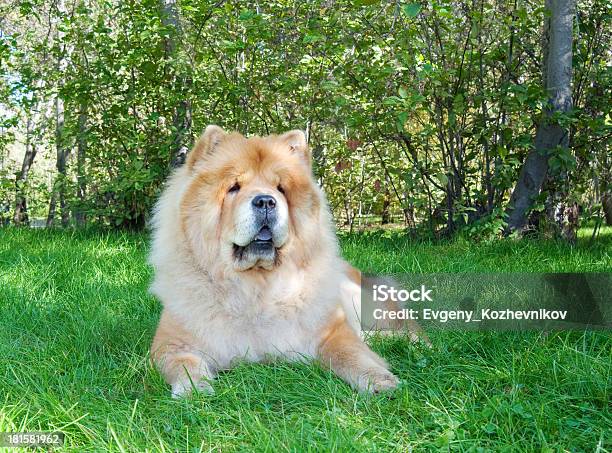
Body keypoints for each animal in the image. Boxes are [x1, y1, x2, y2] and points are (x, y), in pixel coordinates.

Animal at [148, 126, 406, 396]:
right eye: (234, 187)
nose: (265, 201)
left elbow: (351, 353)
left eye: (280, 189)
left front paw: (379, 380)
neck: (256, 289)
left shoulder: (333, 331)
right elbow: (184, 362)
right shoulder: (171, 342)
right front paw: (195, 389)